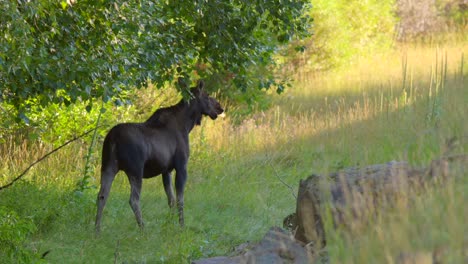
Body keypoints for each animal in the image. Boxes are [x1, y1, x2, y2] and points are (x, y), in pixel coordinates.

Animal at [94, 80, 223, 233]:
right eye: (207, 95)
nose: (220, 107)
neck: (187, 125)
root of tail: (113, 138)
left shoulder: (166, 170)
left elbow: (171, 199)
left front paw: (169, 225)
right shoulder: (181, 166)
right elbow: (180, 199)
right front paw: (181, 226)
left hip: (108, 166)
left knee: (102, 195)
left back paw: (97, 229)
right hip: (135, 170)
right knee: (133, 199)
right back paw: (143, 228)